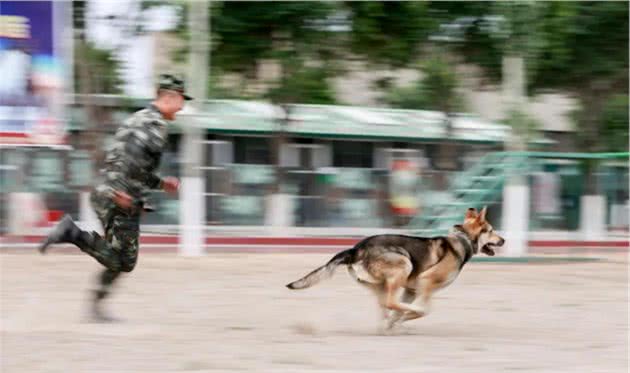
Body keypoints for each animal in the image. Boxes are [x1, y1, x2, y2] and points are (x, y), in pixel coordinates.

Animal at [288, 206, 506, 328]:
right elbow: (421, 310)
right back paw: (403, 315)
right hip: (404, 263)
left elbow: (401, 312)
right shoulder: (426, 282)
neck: (463, 239)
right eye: (491, 230)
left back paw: (387, 324)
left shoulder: (411, 289)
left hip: (381, 283)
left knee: (386, 304)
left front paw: (397, 322)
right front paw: (409, 315)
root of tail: (357, 248)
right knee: (392, 303)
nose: (503, 240)